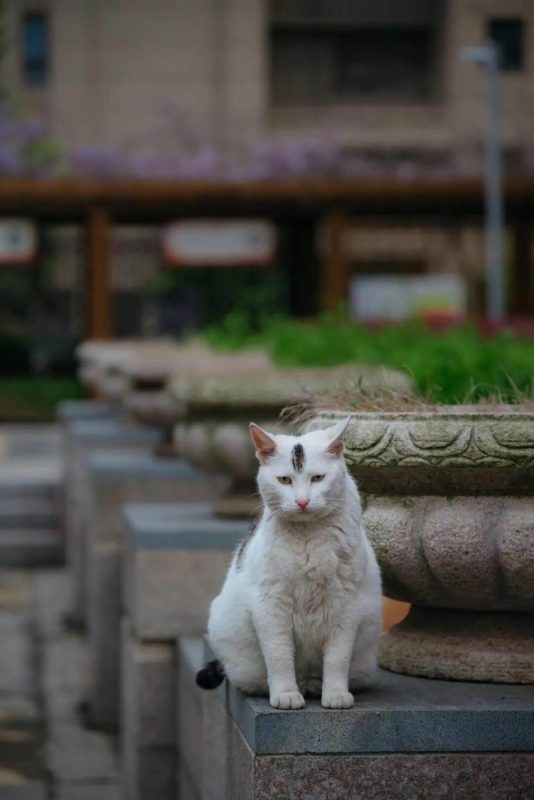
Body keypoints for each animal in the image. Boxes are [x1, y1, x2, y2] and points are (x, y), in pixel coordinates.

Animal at [199, 416, 384, 708]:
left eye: (318, 477)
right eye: (284, 480)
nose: (302, 501)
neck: (308, 537)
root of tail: (307, 680)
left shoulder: (347, 606)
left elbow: (338, 658)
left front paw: (336, 694)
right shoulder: (271, 605)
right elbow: (278, 656)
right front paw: (285, 694)